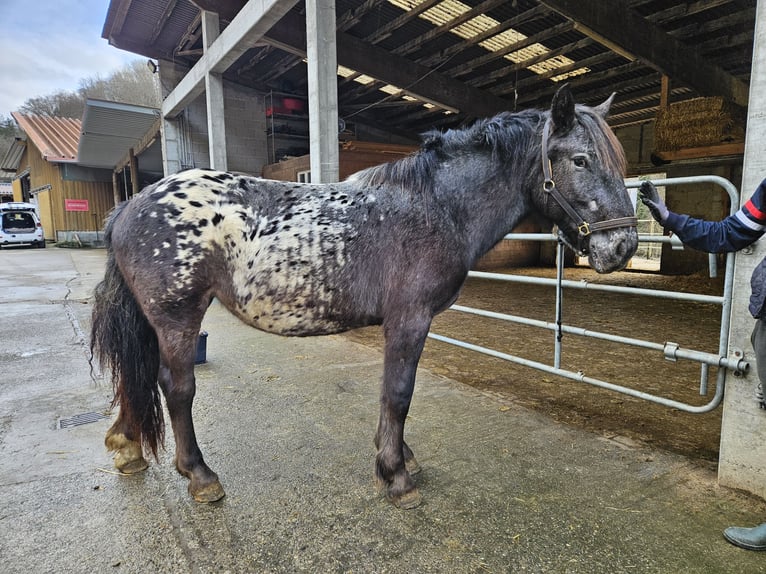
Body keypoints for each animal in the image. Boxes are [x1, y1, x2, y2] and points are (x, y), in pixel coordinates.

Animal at [91, 84, 640, 508]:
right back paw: (200, 476)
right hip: (178, 317)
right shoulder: (410, 319)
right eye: (581, 160)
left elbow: (390, 395)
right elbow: (398, 394)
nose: (624, 246)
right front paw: (396, 476)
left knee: (139, 376)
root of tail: (131, 206)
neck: (435, 206)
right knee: (175, 386)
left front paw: (398, 458)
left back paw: (127, 447)